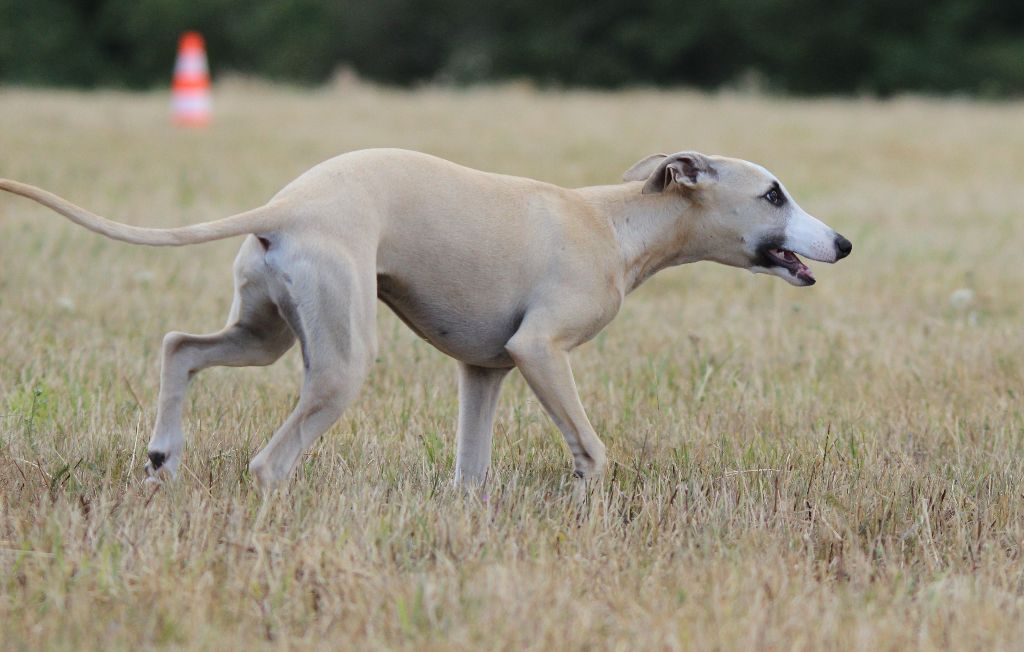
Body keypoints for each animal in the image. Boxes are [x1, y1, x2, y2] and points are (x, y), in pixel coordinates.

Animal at [0, 149, 851, 487]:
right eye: (773, 194)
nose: (842, 242)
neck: (615, 222)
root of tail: (289, 206)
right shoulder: (541, 351)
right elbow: (594, 451)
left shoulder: (486, 370)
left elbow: (471, 474)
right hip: (340, 365)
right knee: (270, 463)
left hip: (264, 332)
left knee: (180, 344)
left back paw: (163, 458)